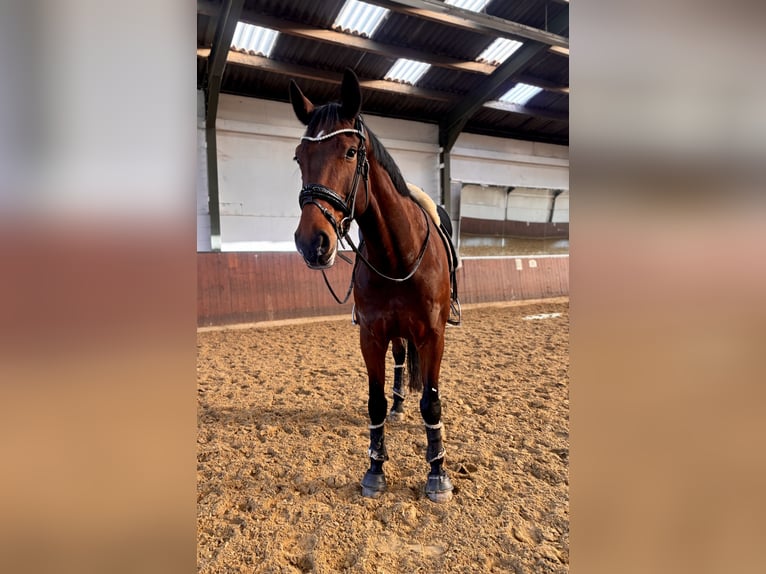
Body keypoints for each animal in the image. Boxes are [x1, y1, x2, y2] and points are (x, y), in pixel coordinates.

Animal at [290, 68, 458, 502]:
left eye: (351, 152)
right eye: (299, 157)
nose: (312, 242)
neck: (397, 255)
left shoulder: (433, 335)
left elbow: (432, 403)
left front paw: (438, 475)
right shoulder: (372, 334)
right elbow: (376, 403)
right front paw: (375, 470)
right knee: (399, 361)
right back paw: (400, 406)